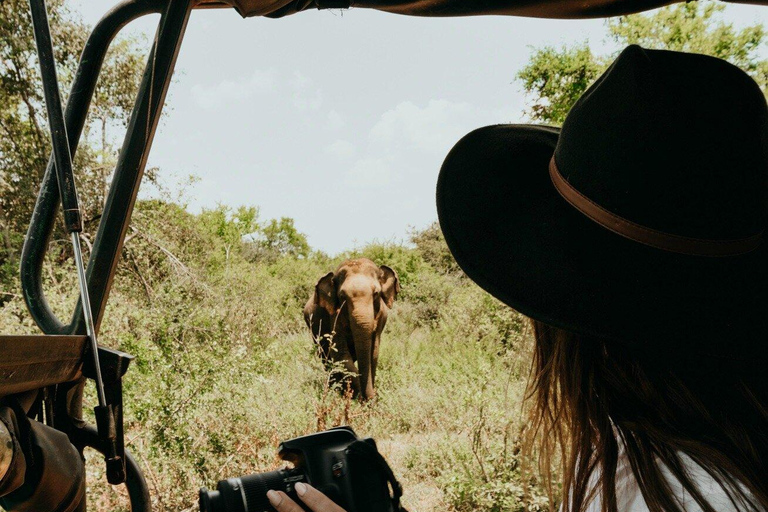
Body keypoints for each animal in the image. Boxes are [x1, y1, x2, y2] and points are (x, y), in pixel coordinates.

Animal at [304, 258, 402, 402]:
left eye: (376, 293)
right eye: (342, 296)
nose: (372, 399)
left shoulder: (380, 319)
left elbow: (373, 353)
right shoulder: (334, 317)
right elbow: (341, 354)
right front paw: (359, 397)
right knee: (326, 359)